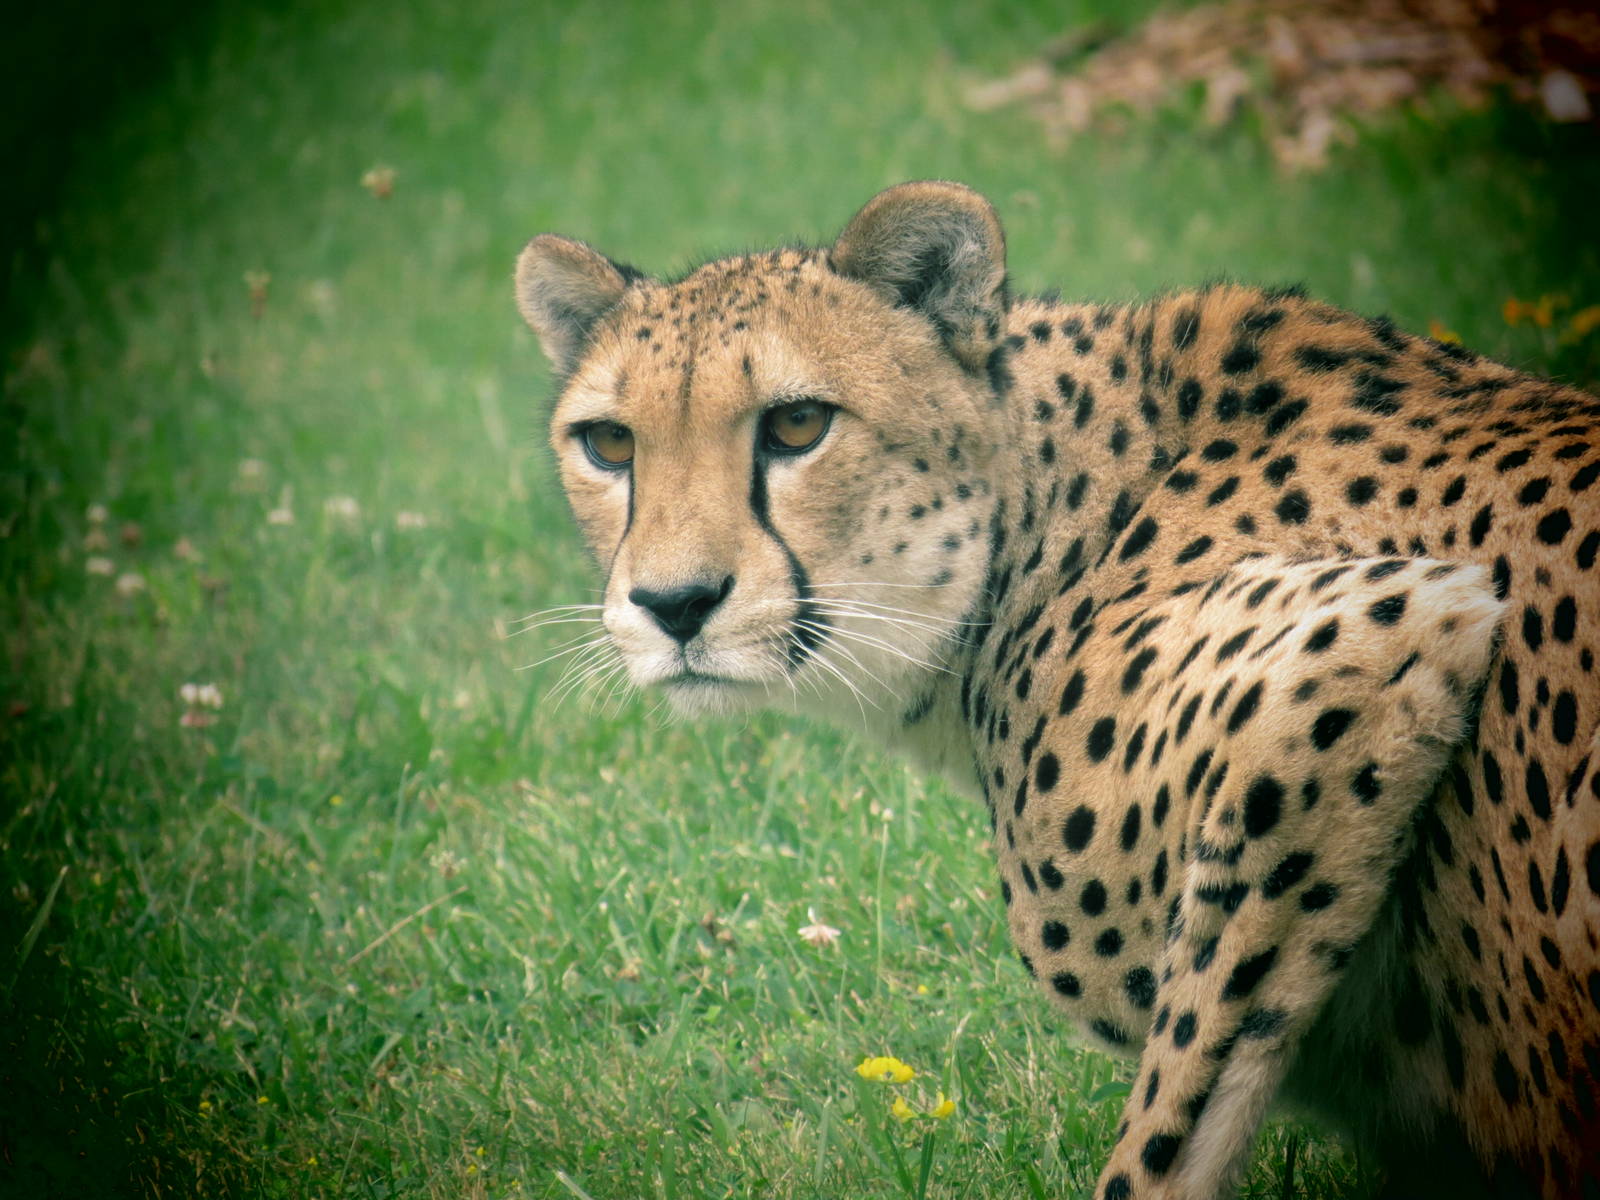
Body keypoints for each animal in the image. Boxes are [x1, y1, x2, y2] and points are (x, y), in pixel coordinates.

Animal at [511, 181, 1600, 1200]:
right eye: (609, 444)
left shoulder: (1375, 629)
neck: (1051, 521)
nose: (674, 604)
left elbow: (1165, 1127)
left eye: (797, 423)